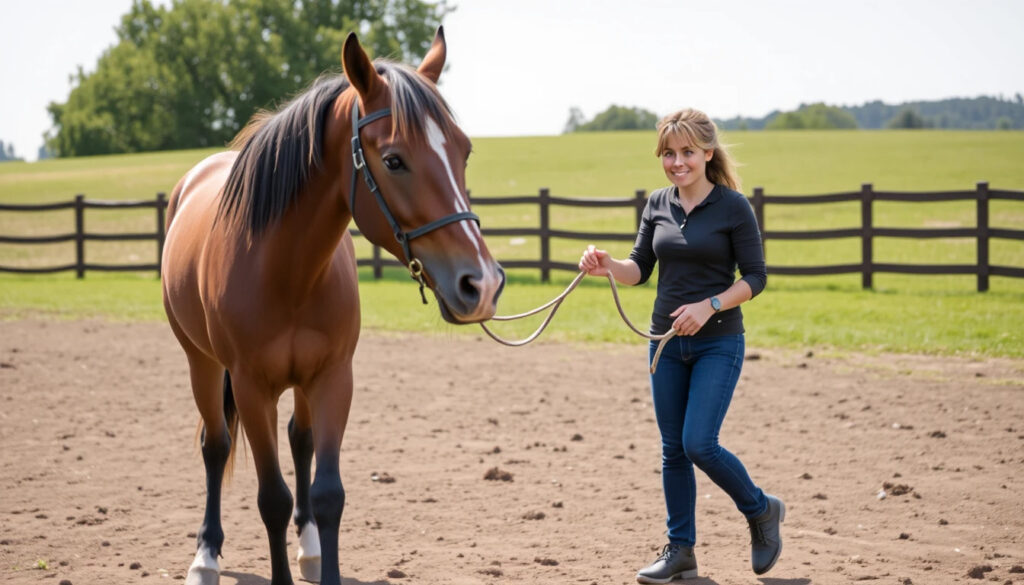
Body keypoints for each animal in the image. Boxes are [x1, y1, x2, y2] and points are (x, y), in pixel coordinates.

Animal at [158, 29, 503, 585]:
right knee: (216, 446)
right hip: (202, 364)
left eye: (464, 151)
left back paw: (309, 548)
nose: (483, 284)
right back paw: (206, 554)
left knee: (299, 440)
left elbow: (327, 493)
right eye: (393, 159)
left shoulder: (334, 377)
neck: (286, 270)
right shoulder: (251, 388)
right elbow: (271, 498)